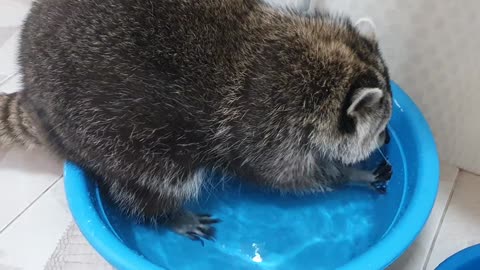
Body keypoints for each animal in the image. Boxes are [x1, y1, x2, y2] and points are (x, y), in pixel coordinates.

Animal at [0, 0, 392, 240]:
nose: (388, 141)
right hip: (113, 138)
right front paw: (349, 174)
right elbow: (290, 178)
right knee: (152, 183)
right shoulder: (268, 131)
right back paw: (167, 214)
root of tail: (33, 95)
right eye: (381, 130)